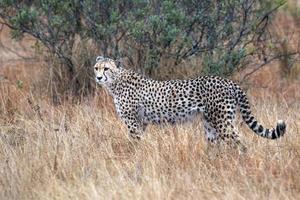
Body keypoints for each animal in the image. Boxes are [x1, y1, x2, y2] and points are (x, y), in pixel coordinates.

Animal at [94, 56, 286, 150]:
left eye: (106, 68)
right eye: (96, 68)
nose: (98, 77)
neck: (116, 81)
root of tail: (229, 81)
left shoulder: (133, 122)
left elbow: (135, 142)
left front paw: (133, 158)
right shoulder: (141, 122)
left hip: (223, 122)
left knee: (240, 143)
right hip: (210, 124)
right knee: (216, 146)